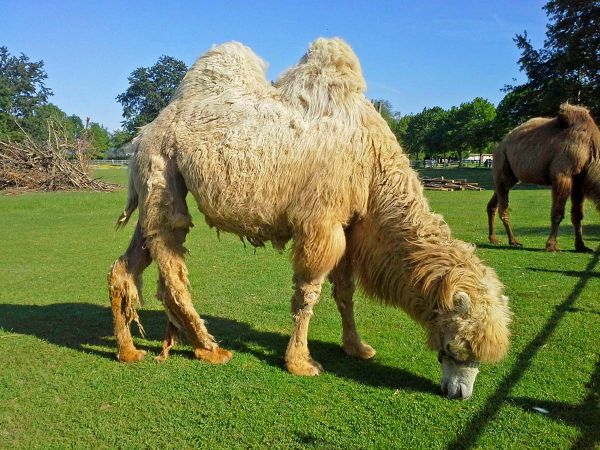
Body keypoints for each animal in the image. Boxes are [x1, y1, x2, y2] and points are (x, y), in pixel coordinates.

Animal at [488, 105, 600, 253]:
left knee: (494, 203)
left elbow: (578, 214)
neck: (590, 149)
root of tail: (498, 146)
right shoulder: (562, 174)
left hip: (510, 177)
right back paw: (513, 241)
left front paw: (582, 246)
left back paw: (493, 238)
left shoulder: (579, 180)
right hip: (501, 161)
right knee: (503, 207)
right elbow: (558, 213)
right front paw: (551, 246)